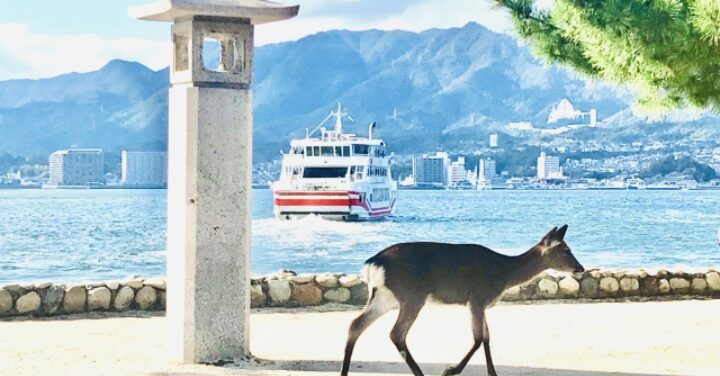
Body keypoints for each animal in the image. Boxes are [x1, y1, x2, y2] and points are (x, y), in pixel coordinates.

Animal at [340, 225, 584, 376]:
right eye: (565, 249)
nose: (580, 268)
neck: (503, 273)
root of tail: (372, 264)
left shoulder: (482, 305)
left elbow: (487, 337)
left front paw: (493, 373)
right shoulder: (477, 299)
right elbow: (478, 338)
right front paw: (450, 370)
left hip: (384, 297)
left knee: (355, 325)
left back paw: (344, 372)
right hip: (412, 295)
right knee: (396, 333)